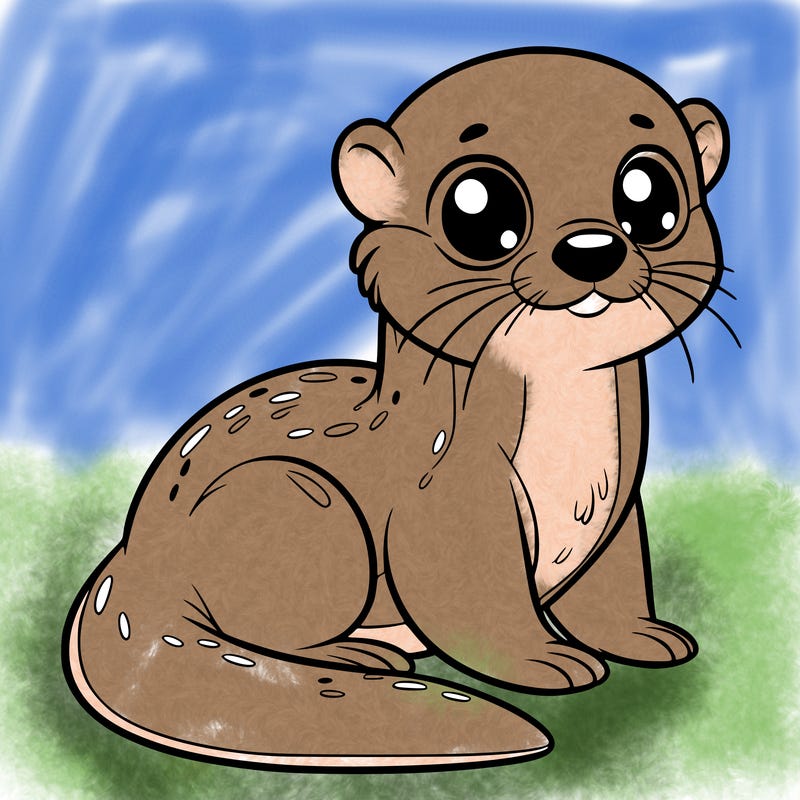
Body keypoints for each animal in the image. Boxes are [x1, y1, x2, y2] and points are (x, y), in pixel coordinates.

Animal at [63, 48, 729, 770]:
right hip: (298, 502)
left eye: (650, 195)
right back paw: (360, 653)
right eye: (478, 208)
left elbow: (613, 582)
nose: (591, 250)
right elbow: (473, 601)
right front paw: (546, 661)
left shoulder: (618, 503)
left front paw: (642, 636)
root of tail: (132, 555)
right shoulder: (449, 496)